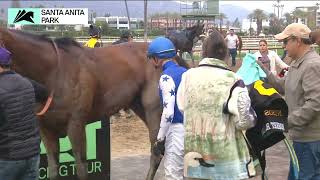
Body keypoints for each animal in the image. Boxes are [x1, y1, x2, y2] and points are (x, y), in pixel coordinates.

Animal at [0, 27, 189, 180]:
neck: (53, 73)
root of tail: (173, 56)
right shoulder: (46, 129)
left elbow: (81, 167)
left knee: (157, 151)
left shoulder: (76, 124)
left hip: (155, 110)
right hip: (138, 106)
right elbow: (53, 169)